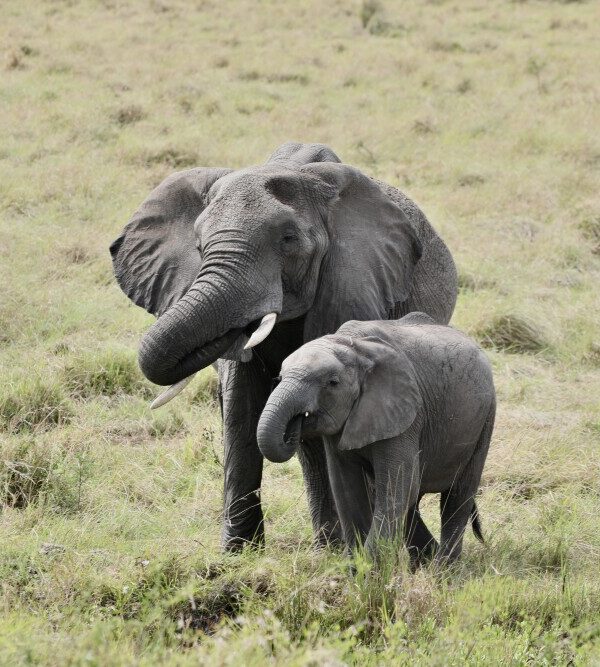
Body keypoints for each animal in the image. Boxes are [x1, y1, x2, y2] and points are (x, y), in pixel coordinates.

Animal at [256, 313, 496, 565]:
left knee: (459, 495)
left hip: (485, 419)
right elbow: (346, 488)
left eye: (332, 383)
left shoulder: (406, 416)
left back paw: (443, 569)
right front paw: (355, 566)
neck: (352, 346)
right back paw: (424, 561)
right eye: (280, 377)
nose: (297, 421)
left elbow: (396, 489)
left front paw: (369, 569)